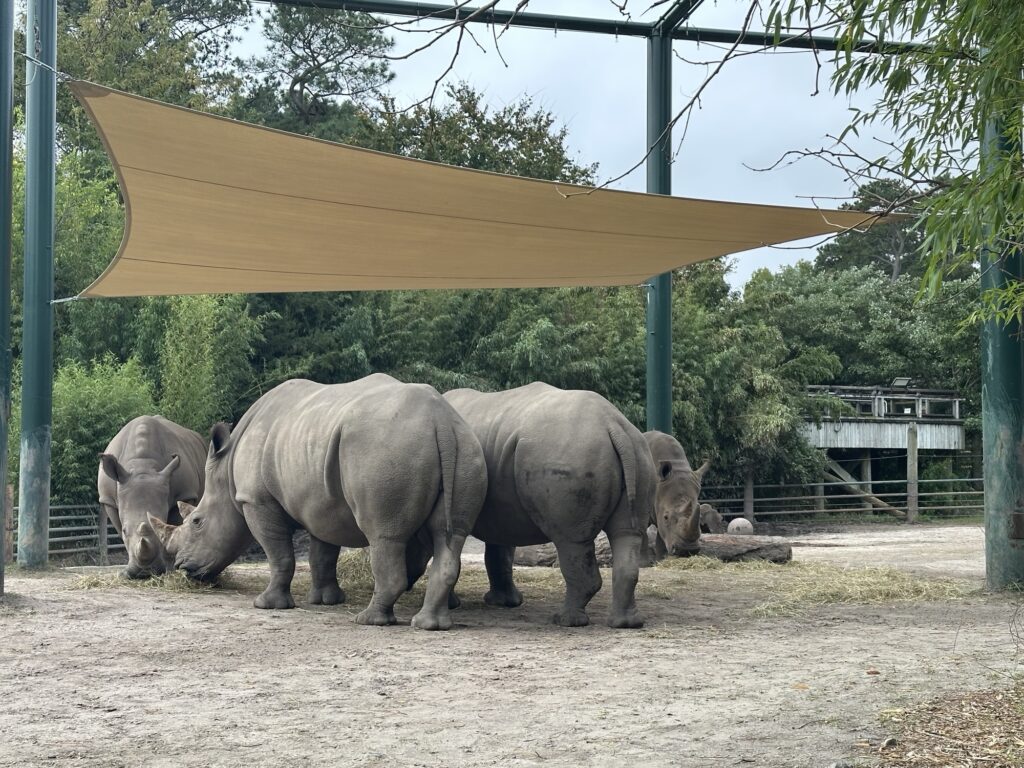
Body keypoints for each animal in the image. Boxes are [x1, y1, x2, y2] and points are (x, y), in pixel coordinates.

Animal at [98, 416, 207, 579]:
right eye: (124, 530)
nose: (145, 572)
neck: (143, 466)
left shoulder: (184, 494)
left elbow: (172, 528)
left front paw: (169, 571)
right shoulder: (108, 500)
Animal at [149, 375, 487, 631]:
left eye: (197, 522)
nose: (182, 567)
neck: (227, 470)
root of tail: (441, 421)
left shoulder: (257, 501)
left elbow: (280, 555)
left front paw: (267, 605)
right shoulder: (320, 504)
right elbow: (322, 554)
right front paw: (325, 600)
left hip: (386, 449)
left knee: (384, 536)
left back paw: (369, 620)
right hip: (466, 448)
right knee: (449, 537)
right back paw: (430, 625)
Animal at [442, 382, 654, 629]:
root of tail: (614, 426)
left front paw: (453, 605)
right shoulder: (502, 511)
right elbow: (500, 550)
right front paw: (504, 603)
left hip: (569, 453)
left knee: (570, 541)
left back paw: (564, 620)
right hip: (639, 453)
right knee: (627, 534)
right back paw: (626, 623)